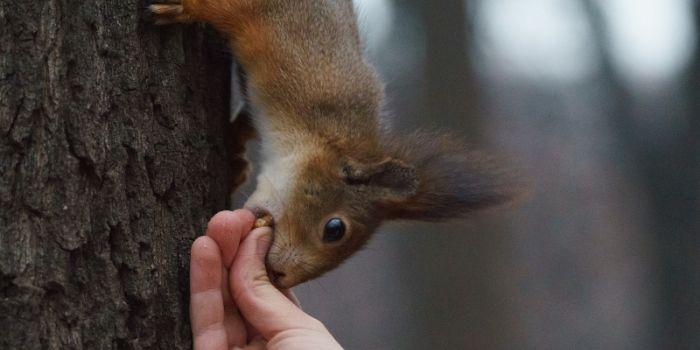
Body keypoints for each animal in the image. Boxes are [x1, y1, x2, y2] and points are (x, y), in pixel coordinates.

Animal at [149, 1, 520, 288]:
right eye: (335, 229)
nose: (280, 277)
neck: (320, 136)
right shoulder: (287, 40)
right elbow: (229, 9)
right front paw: (186, 7)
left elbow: (246, 123)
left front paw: (236, 159)